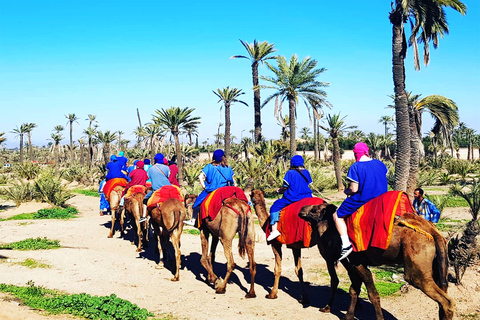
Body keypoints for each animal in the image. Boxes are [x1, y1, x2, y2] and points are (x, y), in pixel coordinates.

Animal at [302, 202, 456, 320]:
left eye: (315, 210)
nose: (302, 209)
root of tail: (434, 232)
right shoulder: (353, 264)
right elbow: (354, 289)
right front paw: (348, 316)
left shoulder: (356, 263)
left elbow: (372, 294)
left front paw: (328, 308)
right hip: (438, 266)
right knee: (442, 296)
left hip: (417, 268)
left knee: (446, 301)